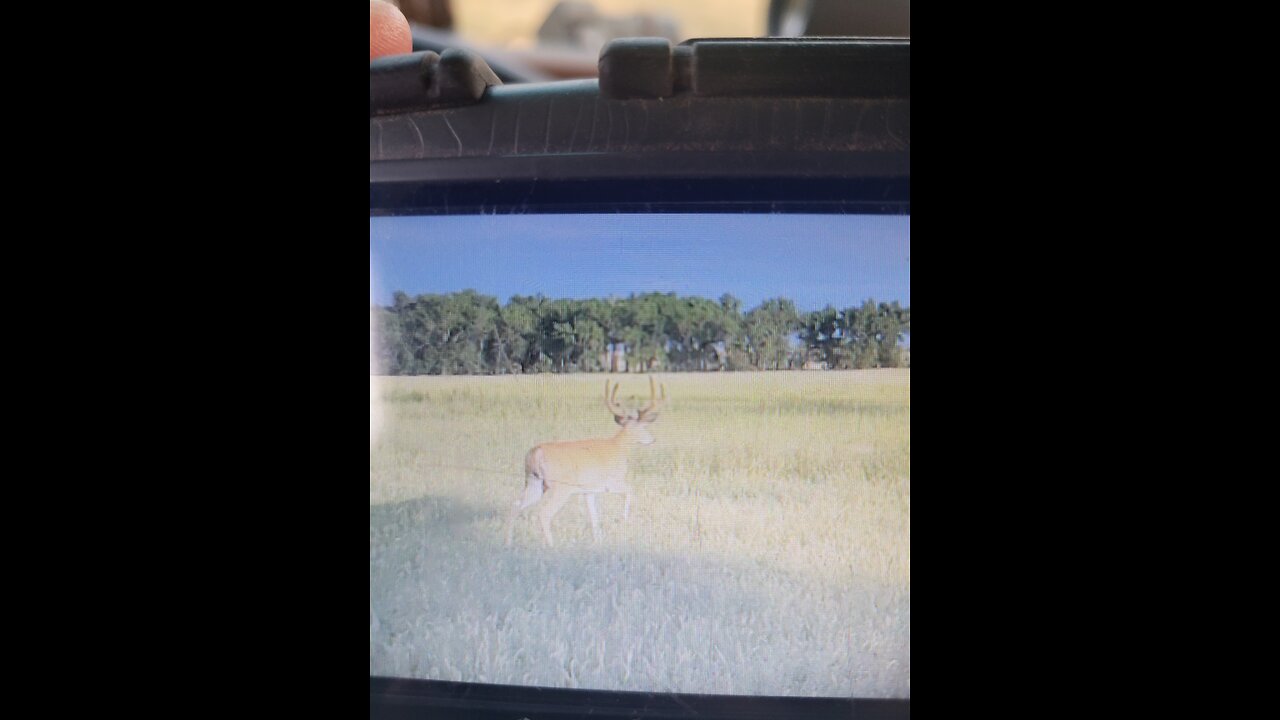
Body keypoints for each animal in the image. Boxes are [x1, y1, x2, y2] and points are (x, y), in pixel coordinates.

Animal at [504, 376, 670, 543]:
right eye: (644, 427)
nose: (652, 439)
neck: (619, 446)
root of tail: (535, 453)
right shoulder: (611, 482)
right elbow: (630, 491)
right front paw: (624, 520)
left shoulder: (589, 491)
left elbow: (594, 518)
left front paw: (598, 540)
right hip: (560, 487)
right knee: (544, 513)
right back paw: (552, 545)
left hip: (534, 482)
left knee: (515, 505)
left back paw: (508, 542)